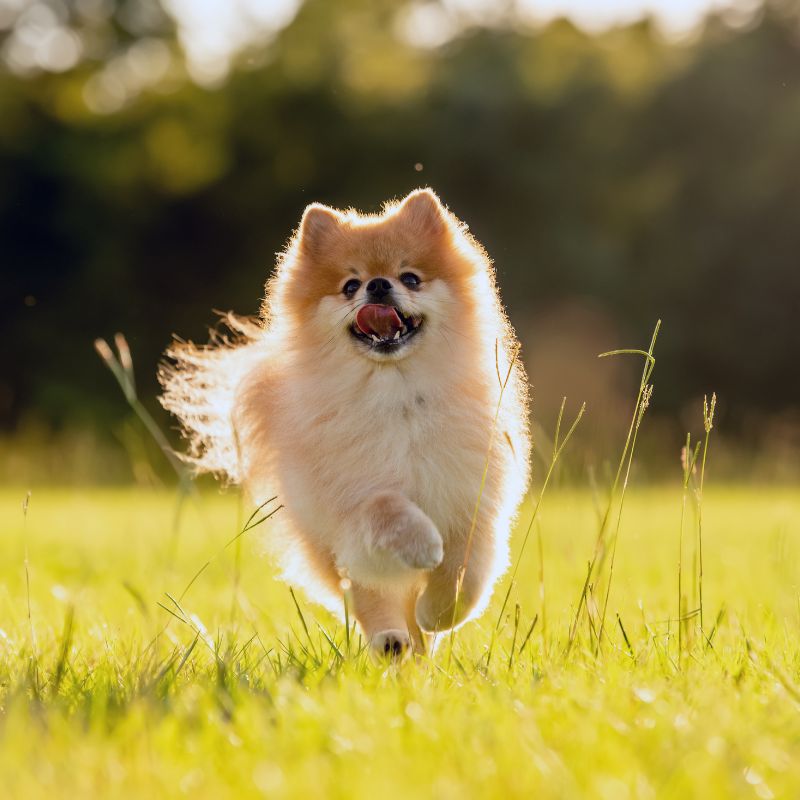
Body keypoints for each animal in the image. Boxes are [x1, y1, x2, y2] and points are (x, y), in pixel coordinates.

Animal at [159, 188, 528, 656]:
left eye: (410, 278)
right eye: (350, 286)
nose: (378, 284)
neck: (396, 396)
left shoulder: (471, 498)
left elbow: (467, 573)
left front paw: (438, 613)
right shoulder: (348, 501)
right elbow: (386, 506)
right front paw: (424, 545)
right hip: (333, 548)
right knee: (370, 597)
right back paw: (391, 640)